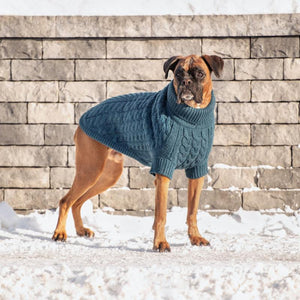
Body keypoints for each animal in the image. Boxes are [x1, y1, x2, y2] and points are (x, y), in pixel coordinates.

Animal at [52, 55, 224, 252]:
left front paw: (195, 237)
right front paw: (160, 242)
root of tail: (82, 118)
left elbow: (192, 211)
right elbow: (161, 214)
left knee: (78, 202)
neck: (190, 116)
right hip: (90, 170)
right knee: (66, 201)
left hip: (108, 175)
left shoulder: (197, 171)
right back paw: (59, 233)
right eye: (178, 74)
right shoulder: (163, 170)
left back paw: (81, 230)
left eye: (200, 73)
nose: (186, 82)